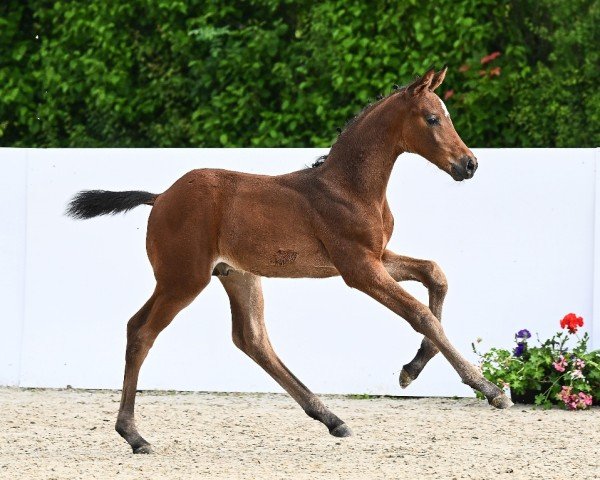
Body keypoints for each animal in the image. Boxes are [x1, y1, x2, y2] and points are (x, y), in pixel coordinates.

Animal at [69, 68, 510, 454]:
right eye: (433, 118)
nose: (469, 164)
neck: (348, 186)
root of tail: (160, 197)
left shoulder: (377, 256)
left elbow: (435, 274)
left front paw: (412, 368)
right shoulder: (359, 268)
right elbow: (421, 313)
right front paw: (488, 389)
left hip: (236, 275)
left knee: (252, 339)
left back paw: (331, 418)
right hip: (183, 279)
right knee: (141, 331)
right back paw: (134, 436)